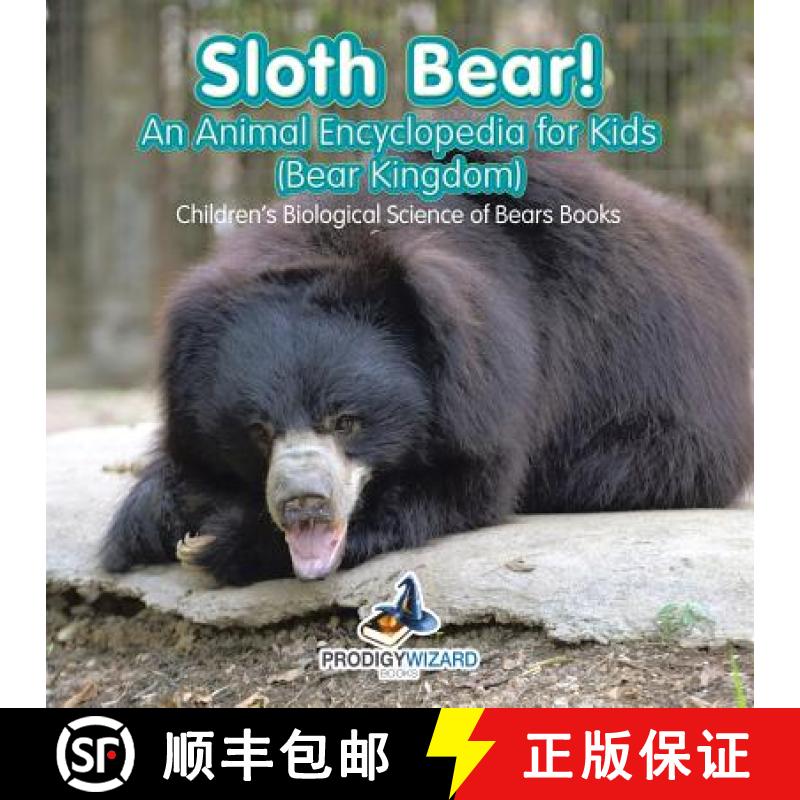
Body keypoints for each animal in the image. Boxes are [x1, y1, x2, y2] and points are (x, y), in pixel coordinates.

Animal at [100, 149, 753, 585]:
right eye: (259, 430)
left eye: (347, 421)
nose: (304, 504)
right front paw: (154, 519)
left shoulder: (501, 381)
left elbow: (463, 485)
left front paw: (223, 540)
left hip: (669, 418)